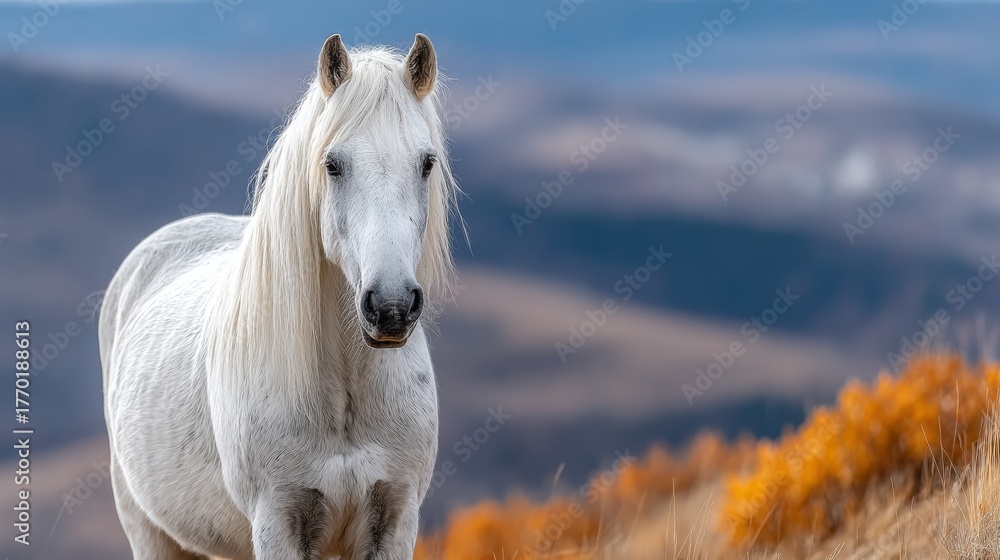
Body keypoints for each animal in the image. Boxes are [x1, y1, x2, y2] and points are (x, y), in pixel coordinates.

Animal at [99, 34, 457, 560]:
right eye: (332, 164)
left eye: (427, 163)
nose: (391, 307)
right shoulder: (278, 521)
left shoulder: (395, 518)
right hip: (148, 530)